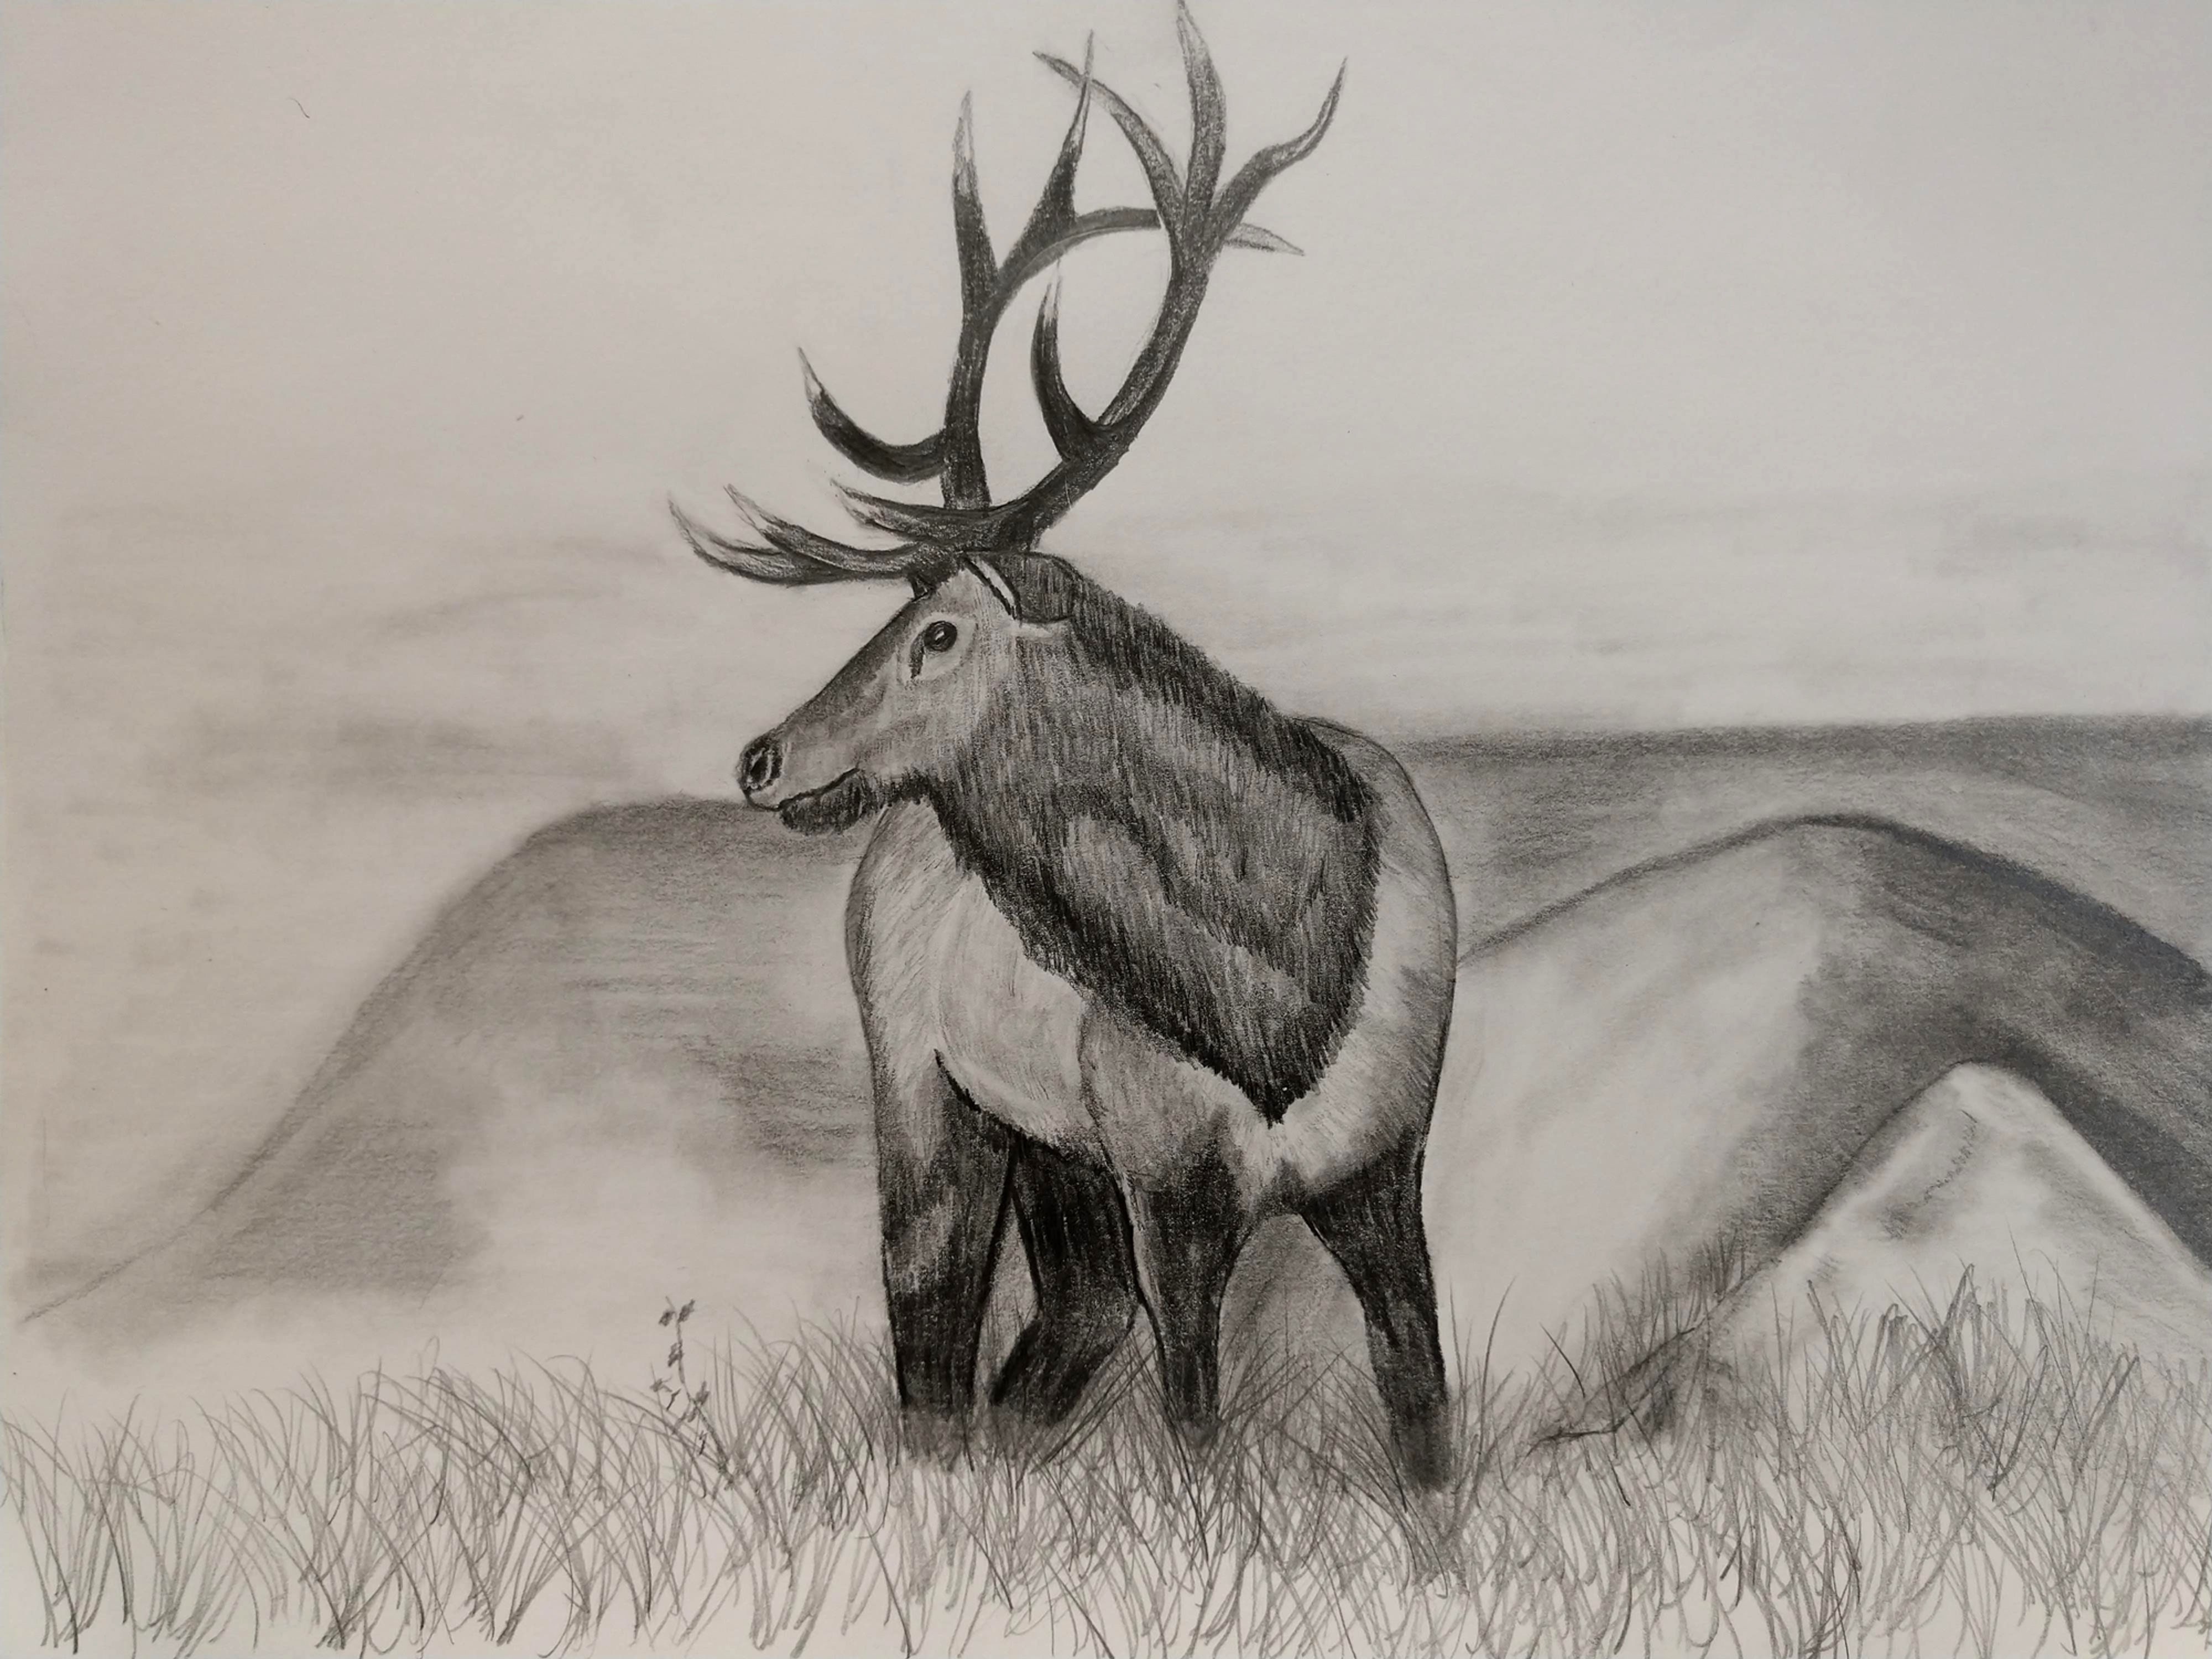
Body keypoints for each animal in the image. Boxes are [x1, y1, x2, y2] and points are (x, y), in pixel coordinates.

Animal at [673, 10, 1461, 1485]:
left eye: (934, 631)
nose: (761, 756)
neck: (1274, 999)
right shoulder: (1172, 1177)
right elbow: (1197, 1433)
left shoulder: (1382, 1167)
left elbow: (1424, 1425)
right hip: (929, 1083)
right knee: (928, 1321)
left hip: (1057, 1143)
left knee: (1056, 1324)